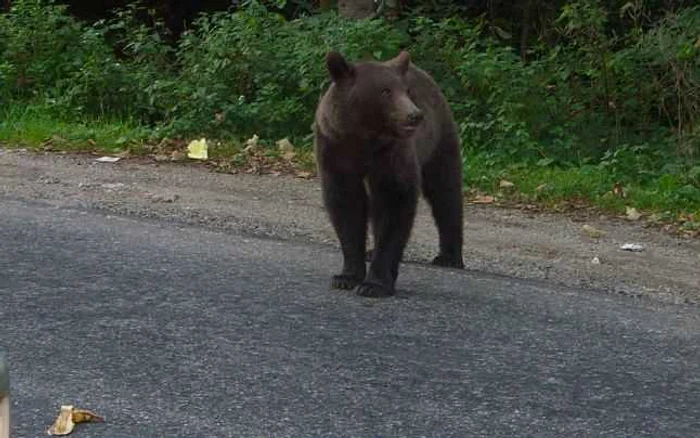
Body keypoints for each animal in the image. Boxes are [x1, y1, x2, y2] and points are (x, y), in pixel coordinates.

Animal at [314, 50, 464, 298]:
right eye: (385, 91)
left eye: (406, 91)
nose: (414, 115)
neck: (365, 138)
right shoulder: (335, 148)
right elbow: (346, 206)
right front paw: (346, 277)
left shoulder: (392, 155)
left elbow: (395, 202)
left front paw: (374, 284)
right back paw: (369, 251)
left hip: (439, 141)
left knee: (445, 193)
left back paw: (449, 256)